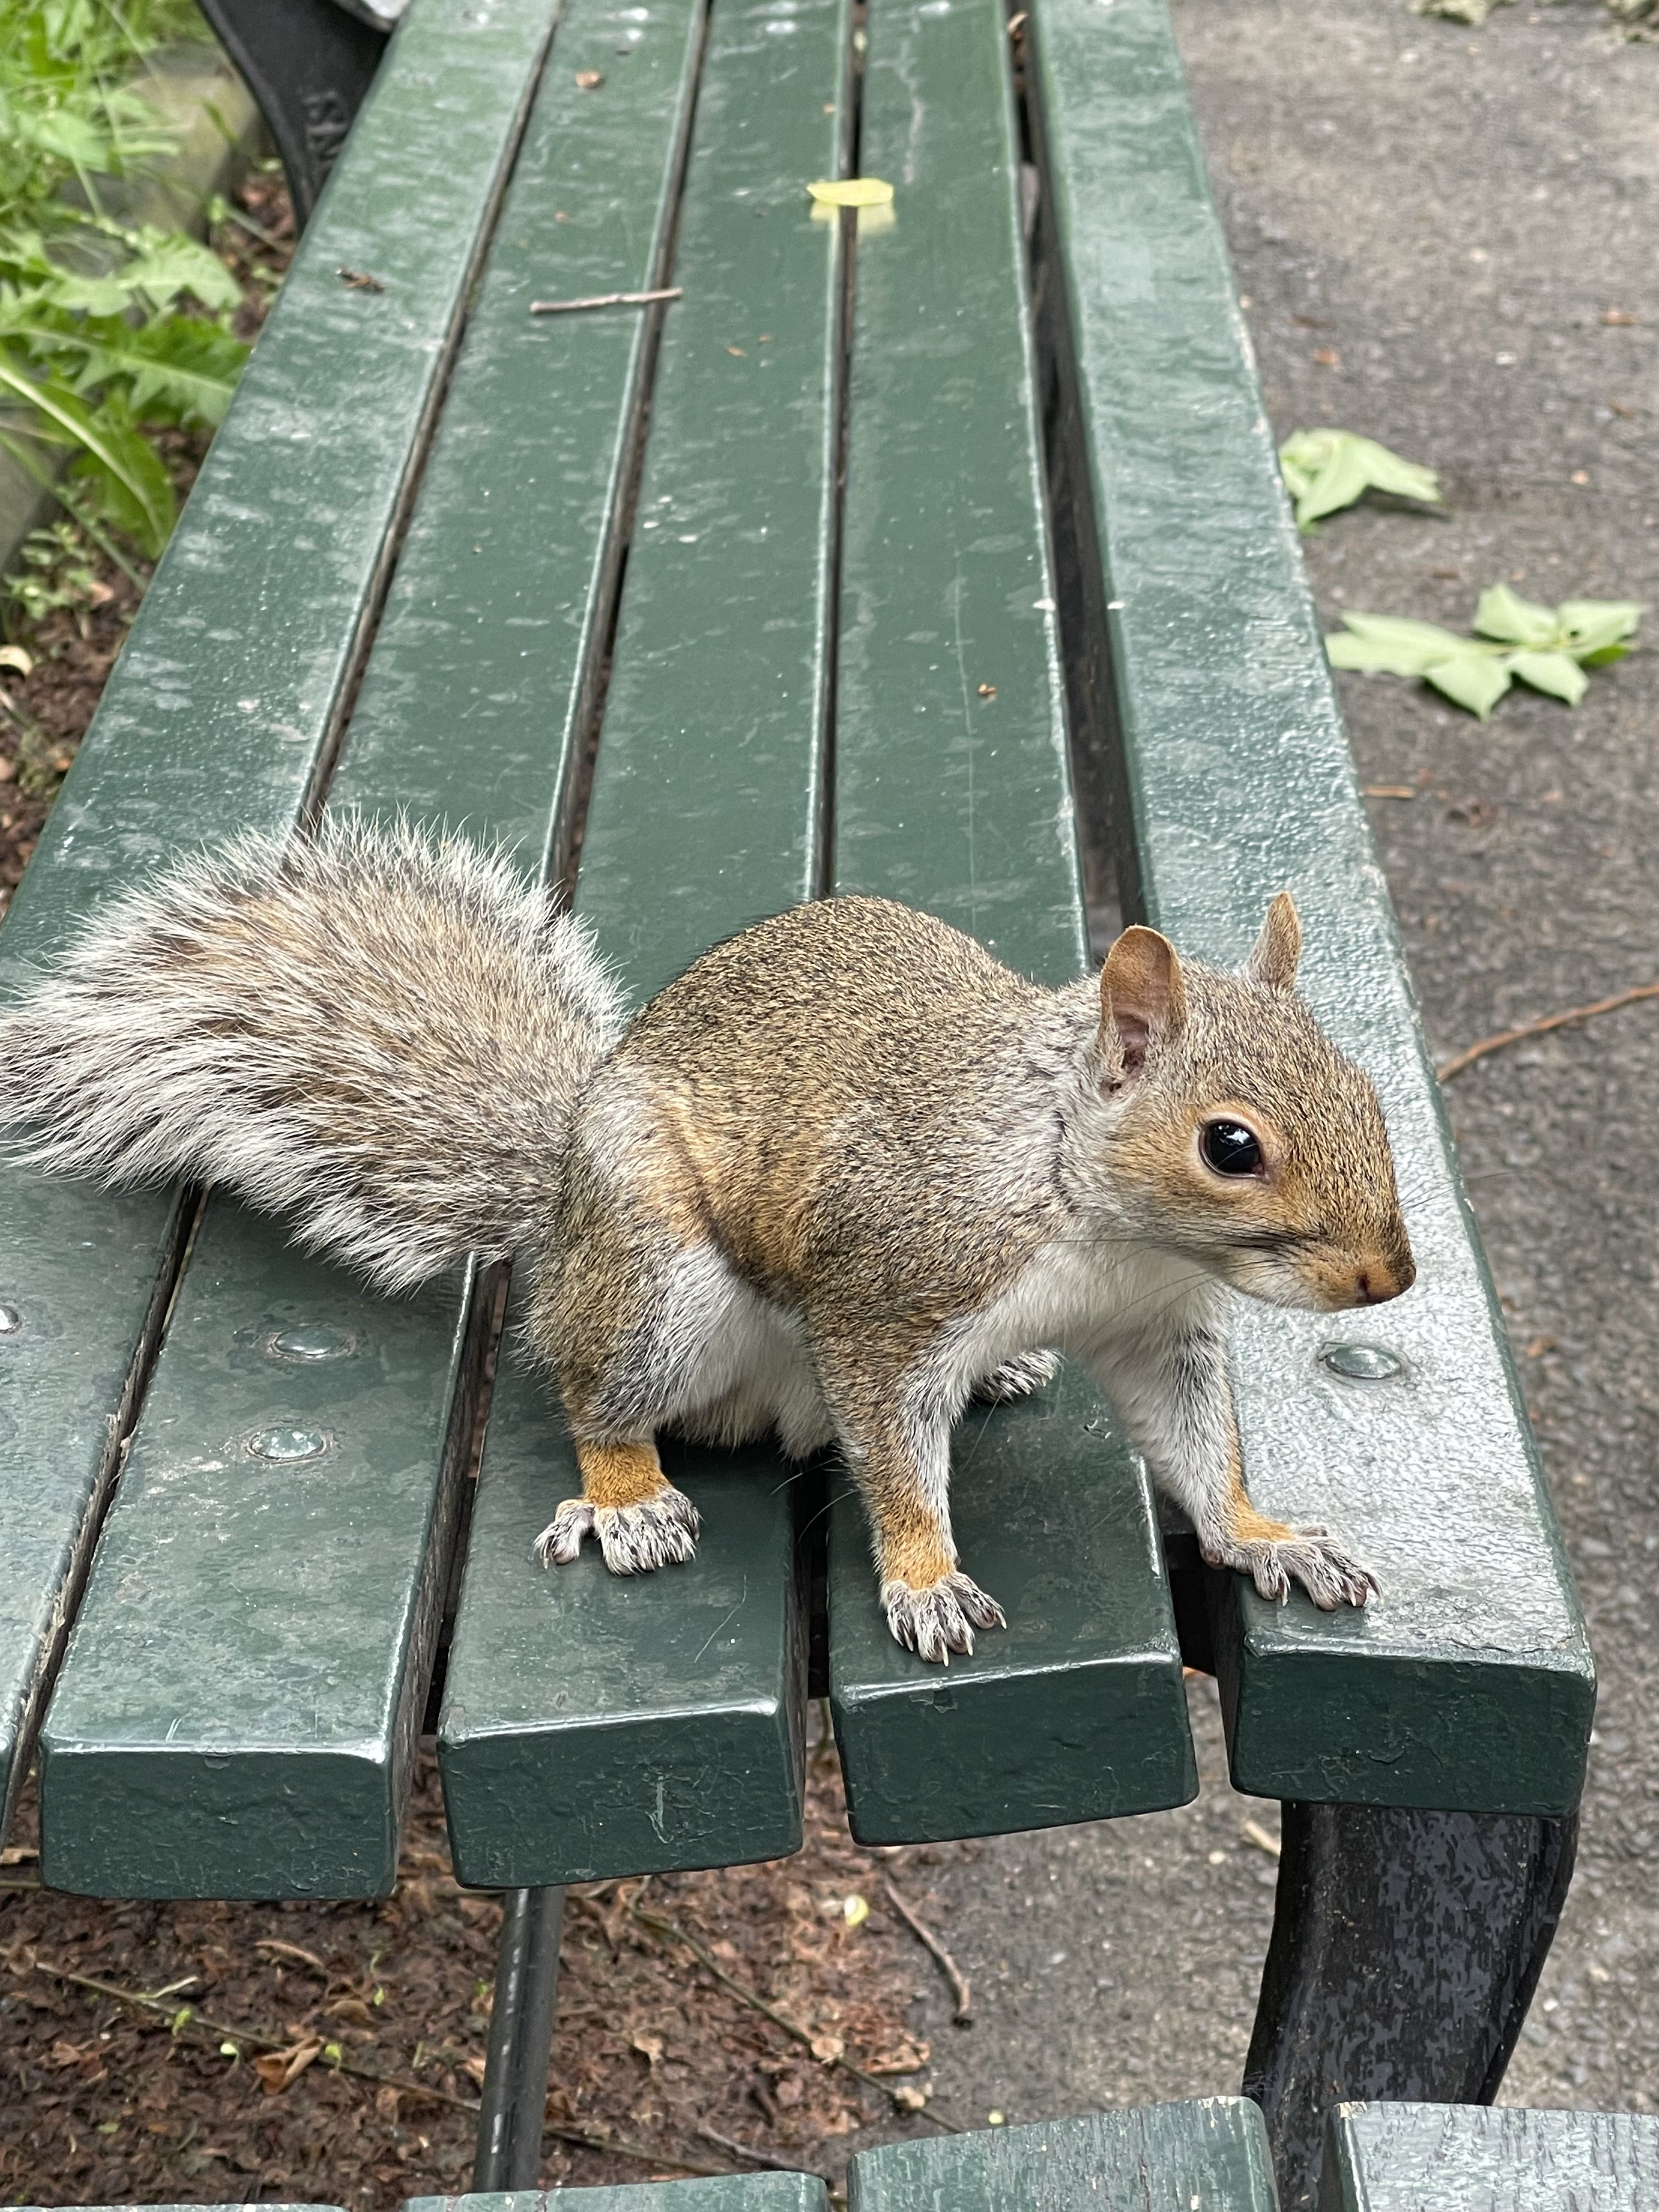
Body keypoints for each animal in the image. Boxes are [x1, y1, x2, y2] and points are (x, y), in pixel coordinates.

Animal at [0, 818, 1415, 1664]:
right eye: (1230, 1145)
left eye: (1363, 1086)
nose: (1389, 1276)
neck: (1090, 1207)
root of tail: (562, 1224)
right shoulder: (889, 1298)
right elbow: (898, 1458)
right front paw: (924, 1577)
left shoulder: (1153, 1328)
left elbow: (1196, 1445)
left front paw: (1265, 1534)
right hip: (655, 1278)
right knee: (595, 1394)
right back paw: (628, 1498)